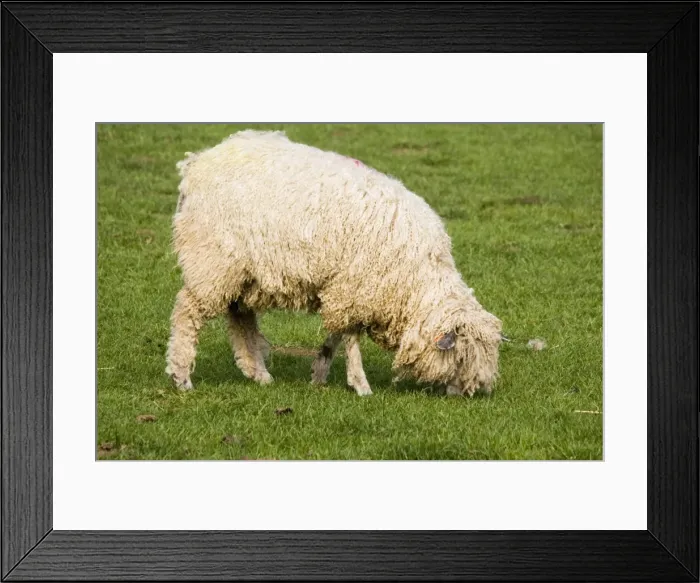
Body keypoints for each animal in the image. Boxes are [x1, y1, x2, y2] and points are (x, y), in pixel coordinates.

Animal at [165, 130, 503, 397]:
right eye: (461, 356)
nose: (465, 395)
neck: (415, 281)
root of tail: (197, 163)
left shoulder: (344, 289)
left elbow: (337, 334)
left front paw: (321, 371)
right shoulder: (354, 287)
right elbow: (351, 337)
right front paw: (360, 384)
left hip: (245, 272)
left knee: (241, 319)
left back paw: (258, 373)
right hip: (212, 260)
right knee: (187, 312)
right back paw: (182, 376)